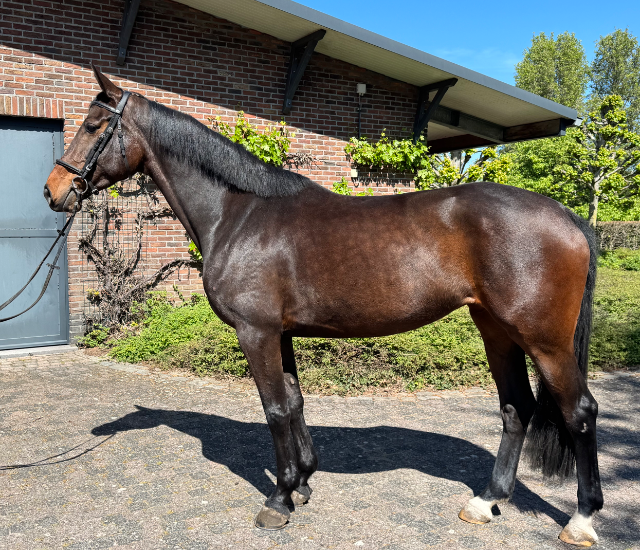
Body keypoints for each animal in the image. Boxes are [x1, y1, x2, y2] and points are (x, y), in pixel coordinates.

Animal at [44, 65, 603, 546]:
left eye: (94, 125)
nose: (54, 191)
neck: (239, 214)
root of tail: (567, 217)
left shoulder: (256, 332)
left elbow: (273, 409)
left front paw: (278, 498)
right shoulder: (281, 333)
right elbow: (294, 403)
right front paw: (304, 483)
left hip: (544, 340)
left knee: (579, 411)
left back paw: (581, 519)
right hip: (496, 330)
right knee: (516, 409)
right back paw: (486, 502)